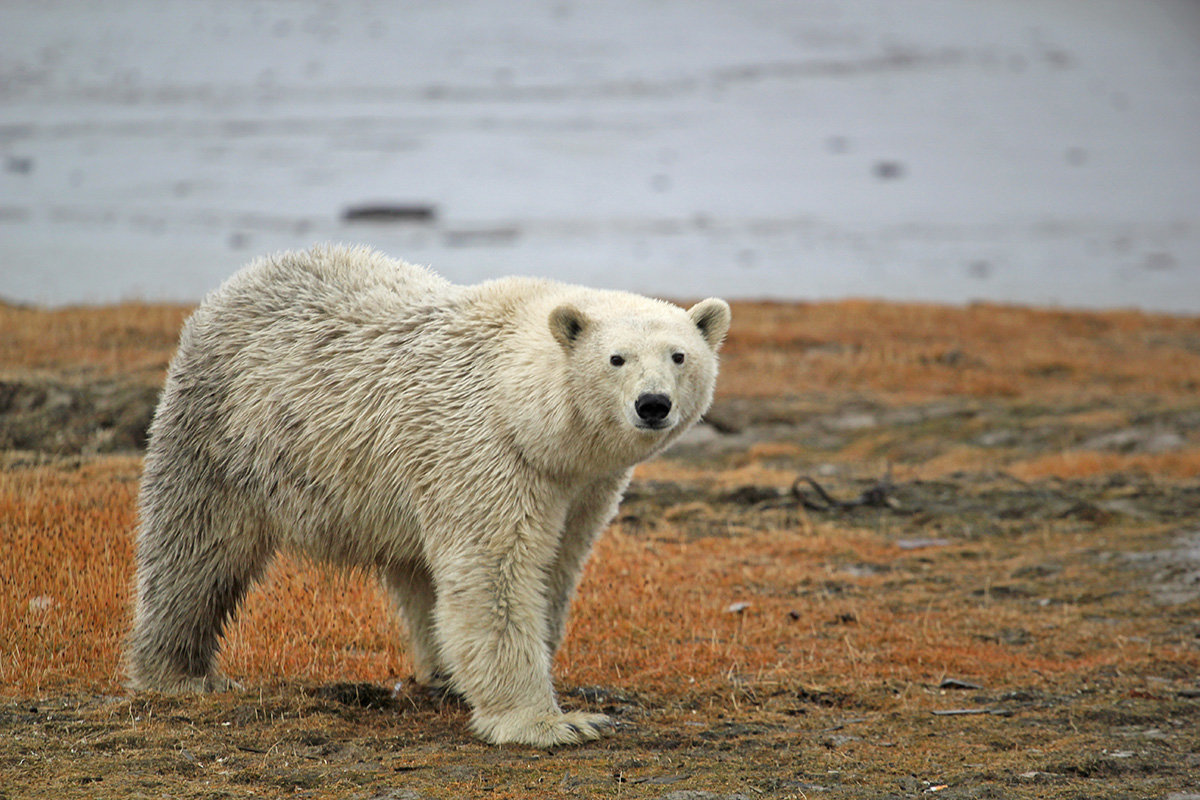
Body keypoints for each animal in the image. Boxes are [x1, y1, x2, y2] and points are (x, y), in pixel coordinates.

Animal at [131, 242, 729, 743]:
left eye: (678, 356)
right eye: (616, 358)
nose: (652, 404)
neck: (519, 403)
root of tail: (240, 281)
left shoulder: (582, 483)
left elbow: (556, 566)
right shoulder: (482, 450)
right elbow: (496, 574)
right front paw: (551, 723)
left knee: (416, 572)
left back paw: (441, 672)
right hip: (223, 433)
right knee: (195, 550)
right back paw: (179, 674)